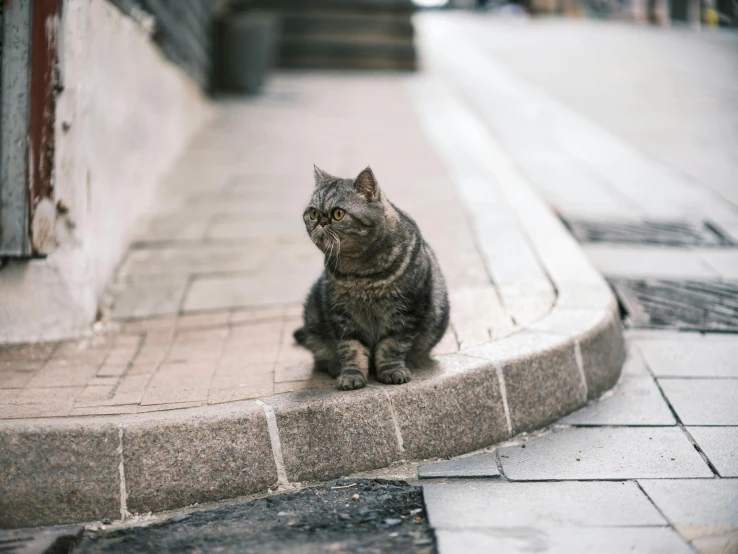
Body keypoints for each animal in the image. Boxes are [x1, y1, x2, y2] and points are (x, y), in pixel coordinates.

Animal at [294, 164, 448, 388]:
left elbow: (392, 346)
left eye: (338, 214)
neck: (361, 274)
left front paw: (393, 371)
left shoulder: (405, 312)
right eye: (313, 213)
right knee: (321, 354)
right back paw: (334, 366)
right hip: (313, 314)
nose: (321, 222)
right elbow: (351, 349)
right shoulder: (343, 315)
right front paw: (351, 375)